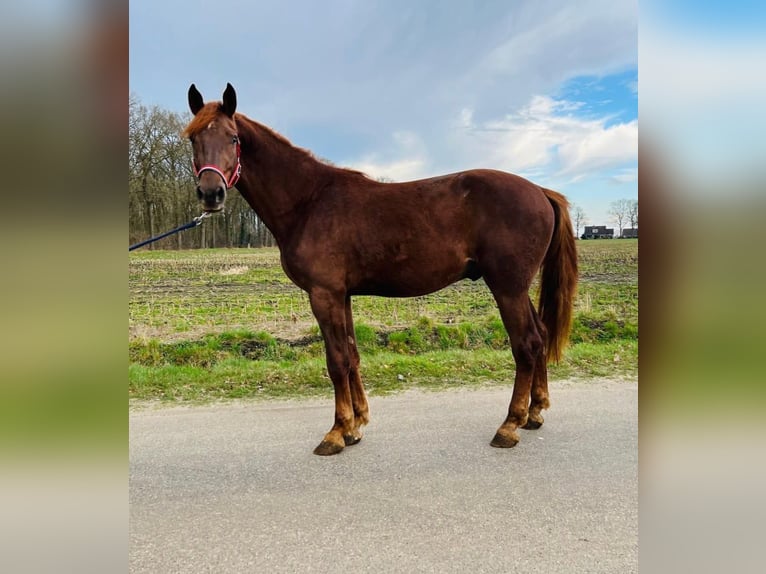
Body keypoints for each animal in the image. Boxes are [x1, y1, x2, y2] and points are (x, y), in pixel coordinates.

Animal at [184, 83, 578, 456]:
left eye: (233, 138)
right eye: (193, 138)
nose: (211, 194)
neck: (309, 201)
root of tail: (540, 191)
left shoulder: (324, 295)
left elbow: (336, 361)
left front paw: (336, 432)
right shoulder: (341, 296)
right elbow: (352, 355)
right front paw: (356, 425)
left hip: (507, 287)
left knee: (527, 344)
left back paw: (509, 425)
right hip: (517, 288)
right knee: (541, 336)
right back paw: (534, 413)